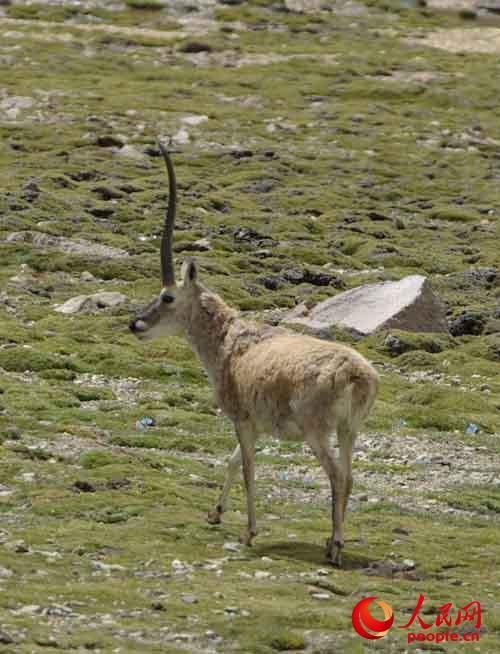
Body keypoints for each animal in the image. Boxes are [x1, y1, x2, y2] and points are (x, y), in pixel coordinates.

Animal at [130, 146, 378, 568]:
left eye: (167, 297)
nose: (136, 324)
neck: (232, 342)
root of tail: (356, 374)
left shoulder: (243, 421)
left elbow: (247, 468)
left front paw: (249, 533)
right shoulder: (257, 425)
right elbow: (232, 461)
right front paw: (214, 513)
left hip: (316, 432)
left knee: (337, 476)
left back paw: (334, 547)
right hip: (349, 430)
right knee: (349, 476)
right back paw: (334, 542)